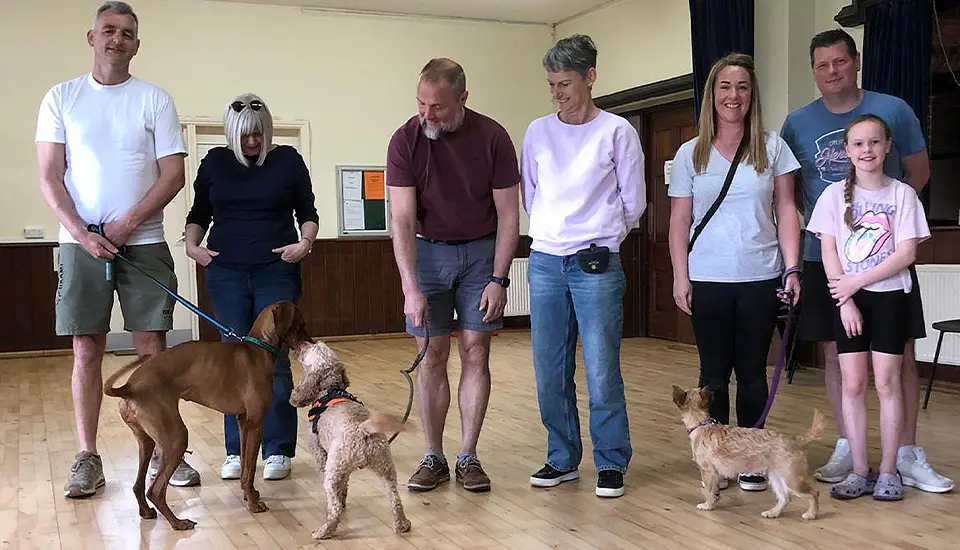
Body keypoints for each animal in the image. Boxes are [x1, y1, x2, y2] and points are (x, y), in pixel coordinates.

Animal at [102, 300, 312, 532]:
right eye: (301, 324)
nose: (311, 344)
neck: (258, 349)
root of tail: (130, 387)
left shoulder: (243, 423)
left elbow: (245, 467)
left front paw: (249, 495)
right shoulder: (256, 424)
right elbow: (249, 469)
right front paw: (253, 503)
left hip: (147, 442)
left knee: (138, 485)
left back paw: (147, 512)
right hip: (176, 438)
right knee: (155, 491)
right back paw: (178, 522)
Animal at [290, 342, 414, 540]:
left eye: (310, 349)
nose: (300, 344)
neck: (331, 389)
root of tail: (363, 430)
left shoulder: (320, 453)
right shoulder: (344, 470)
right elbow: (345, 486)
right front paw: (343, 499)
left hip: (333, 471)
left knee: (334, 511)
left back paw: (323, 531)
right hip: (385, 468)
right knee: (395, 500)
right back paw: (402, 525)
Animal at [672, 384, 820, 520]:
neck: (701, 424)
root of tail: (796, 441)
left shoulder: (707, 471)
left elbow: (709, 491)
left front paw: (707, 505)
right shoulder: (715, 473)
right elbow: (715, 490)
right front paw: (715, 499)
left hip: (792, 480)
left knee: (814, 493)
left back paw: (811, 514)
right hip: (776, 477)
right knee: (785, 498)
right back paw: (772, 513)